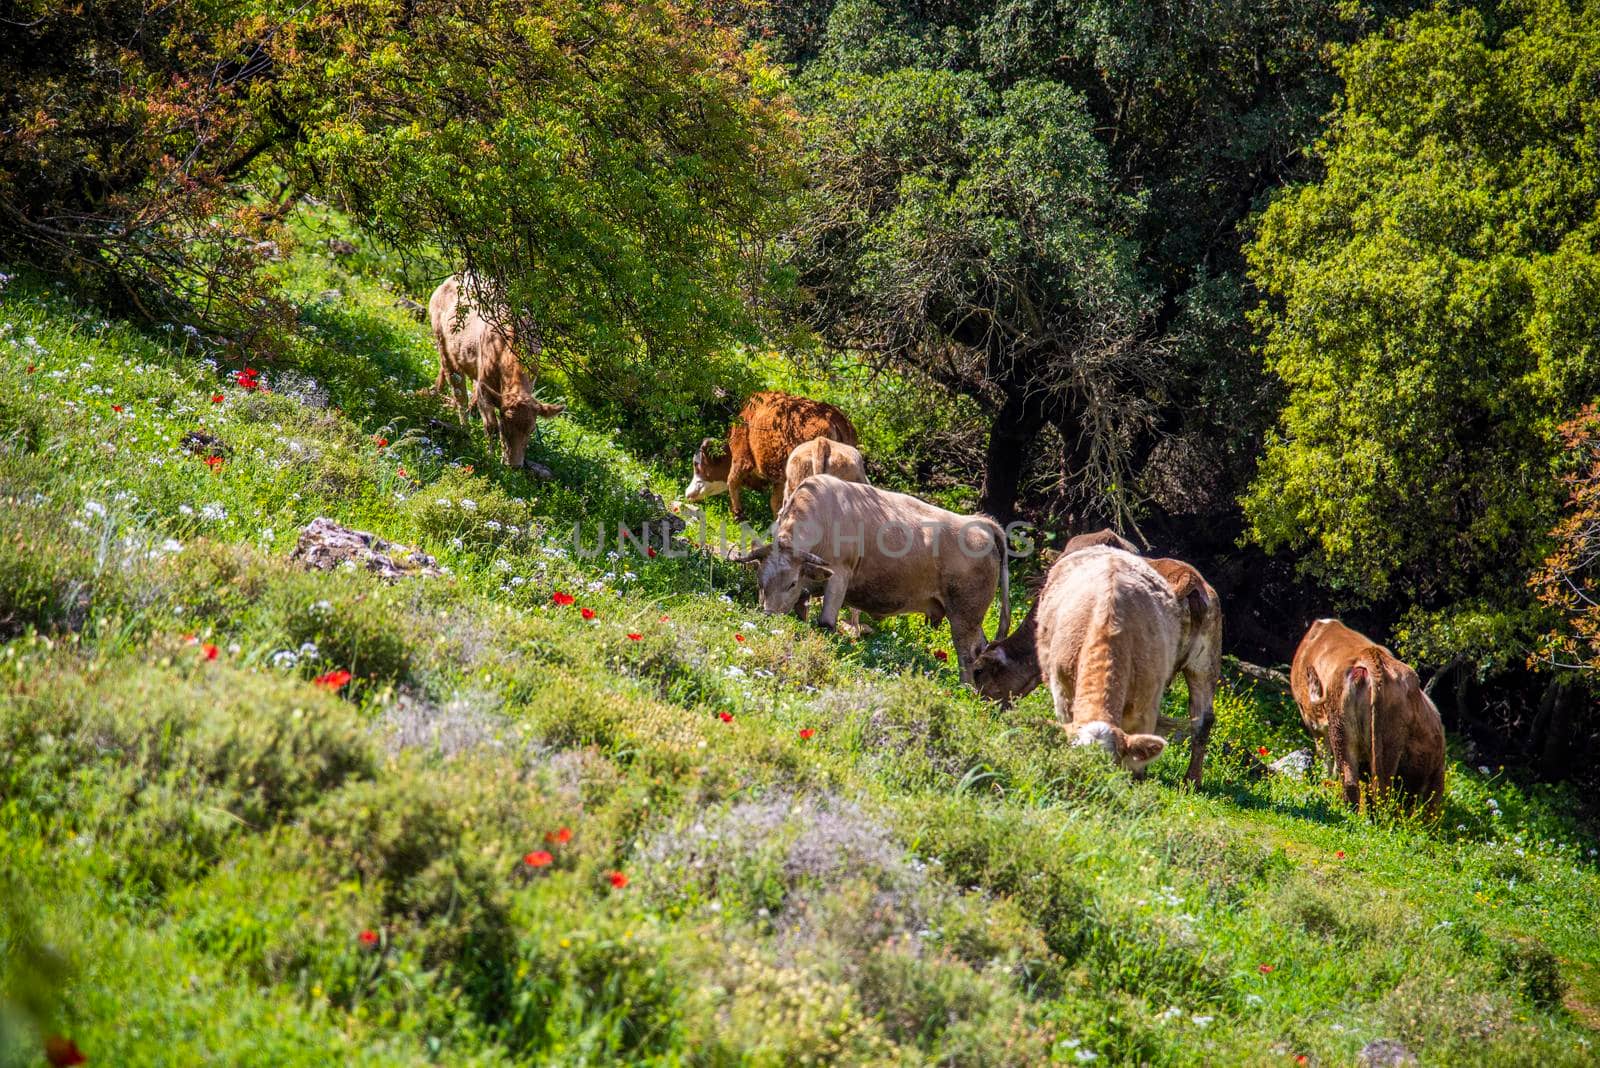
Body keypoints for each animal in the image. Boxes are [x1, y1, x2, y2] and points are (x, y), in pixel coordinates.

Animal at [428, 278, 566, 470]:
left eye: (531, 430)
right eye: (504, 426)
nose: (515, 465)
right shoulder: (484, 385)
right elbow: (490, 426)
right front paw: (491, 457)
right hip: (442, 342)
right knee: (459, 393)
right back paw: (464, 430)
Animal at [688, 394, 864, 524]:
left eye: (697, 465)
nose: (688, 493)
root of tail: (835, 418)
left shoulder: (742, 458)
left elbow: (732, 481)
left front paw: (738, 516)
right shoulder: (780, 479)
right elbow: (775, 503)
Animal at [732, 476, 1004, 684]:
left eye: (790, 583)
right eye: (760, 583)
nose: (769, 617)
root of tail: (979, 523)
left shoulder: (839, 577)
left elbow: (826, 622)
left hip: (963, 617)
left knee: (967, 655)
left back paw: (966, 690)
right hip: (971, 618)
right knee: (981, 648)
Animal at [966, 534, 1216, 783]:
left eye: (978, 672)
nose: (979, 706)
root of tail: (1189, 578)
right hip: (1205, 664)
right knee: (1203, 720)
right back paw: (1192, 780)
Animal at [1286, 617, 1452, 818]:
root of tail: (1372, 656)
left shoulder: (1315, 726)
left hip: (1344, 731)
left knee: (1359, 782)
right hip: (1381, 741)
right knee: (1371, 786)